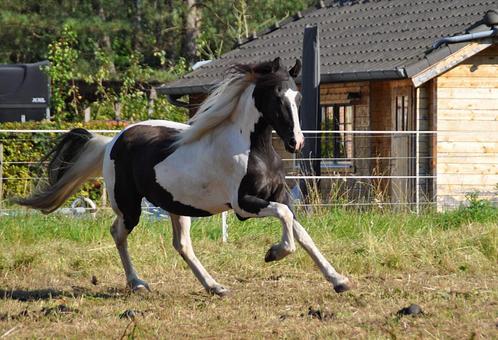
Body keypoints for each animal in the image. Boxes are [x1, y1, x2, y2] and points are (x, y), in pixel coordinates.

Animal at [16, 57, 350, 294]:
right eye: (278, 97)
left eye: (299, 97)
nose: (296, 143)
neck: (254, 149)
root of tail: (111, 141)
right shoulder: (243, 205)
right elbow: (284, 217)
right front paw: (275, 253)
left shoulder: (277, 195)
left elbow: (299, 229)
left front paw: (338, 280)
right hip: (130, 206)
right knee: (118, 233)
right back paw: (138, 283)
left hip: (177, 206)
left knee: (182, 245)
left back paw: (215, 287)